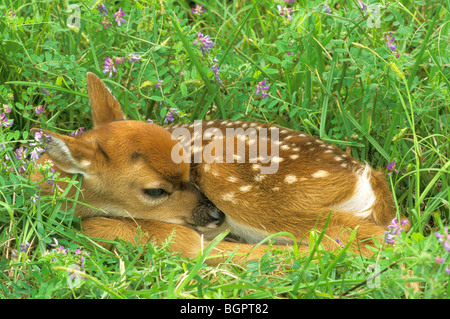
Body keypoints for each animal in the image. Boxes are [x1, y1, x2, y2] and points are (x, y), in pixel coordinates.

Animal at [32, 74, 408, 266]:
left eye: (187, 168)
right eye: (155, 190)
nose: (214, 215)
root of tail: (367, 176)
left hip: (241, 183)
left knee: (361, 241)